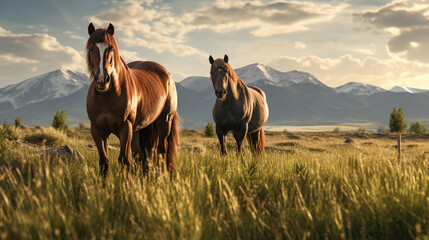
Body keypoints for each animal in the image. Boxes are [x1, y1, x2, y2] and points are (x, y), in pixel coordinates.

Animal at [85, 23, 179, 177]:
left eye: (111, 48)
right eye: (92, 49)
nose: (102, 80)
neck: (107, 96)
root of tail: (166, 74)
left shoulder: (125, 128)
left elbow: (123, 161)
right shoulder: (97, 130)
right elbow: (104, 162)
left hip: (164, 122)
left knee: (162, 151)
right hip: (137, 130)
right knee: (140, 156)